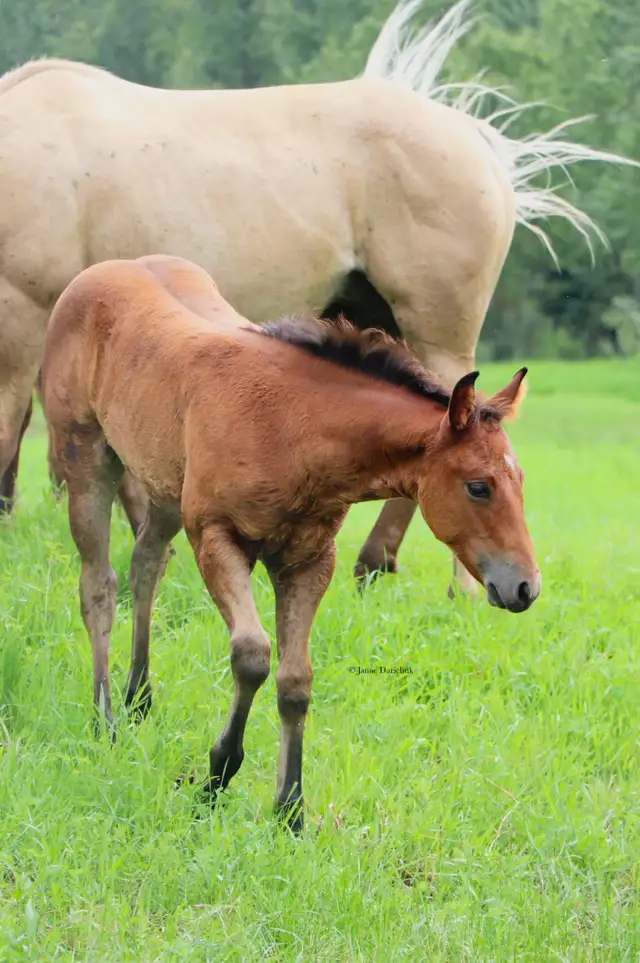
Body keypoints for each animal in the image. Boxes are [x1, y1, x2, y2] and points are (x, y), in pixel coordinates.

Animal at [1, 0, 632, 596]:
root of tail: (474, 137)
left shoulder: (22, 319)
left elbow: (11, 428)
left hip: (439, 330)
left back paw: (453, 586)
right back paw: (375, 564)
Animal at [41, 255, 540, 832]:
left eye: (521, 479)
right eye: (478, 486)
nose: (525, 587)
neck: (290, 428)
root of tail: (104, 269)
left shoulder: (308, 561)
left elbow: (296, 680)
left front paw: (290, 809)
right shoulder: (216, 538)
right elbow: (253, 656)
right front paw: (216, 776)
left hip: (163, 485)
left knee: (147, 564)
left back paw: (139, 698)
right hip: (86, 457)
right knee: (99, 585)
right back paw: (106, 719)